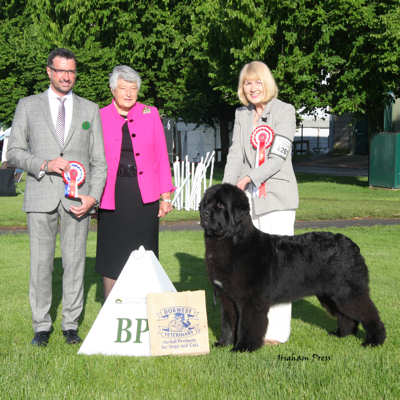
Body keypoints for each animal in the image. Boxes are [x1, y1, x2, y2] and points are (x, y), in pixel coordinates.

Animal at [202, 183, 386, 352]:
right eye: (206, 203)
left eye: (220, 205)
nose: (204, 213)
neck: (232, 242)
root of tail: (352, 245)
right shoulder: (226, 297)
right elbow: (228, 323)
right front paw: (223, 344)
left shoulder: (250, 301)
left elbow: (247, 325)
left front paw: (244, 348)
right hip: (331, 294)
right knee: (346, 316)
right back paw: (342, 334)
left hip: (348, 292)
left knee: (369, 313)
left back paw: (374, 341)